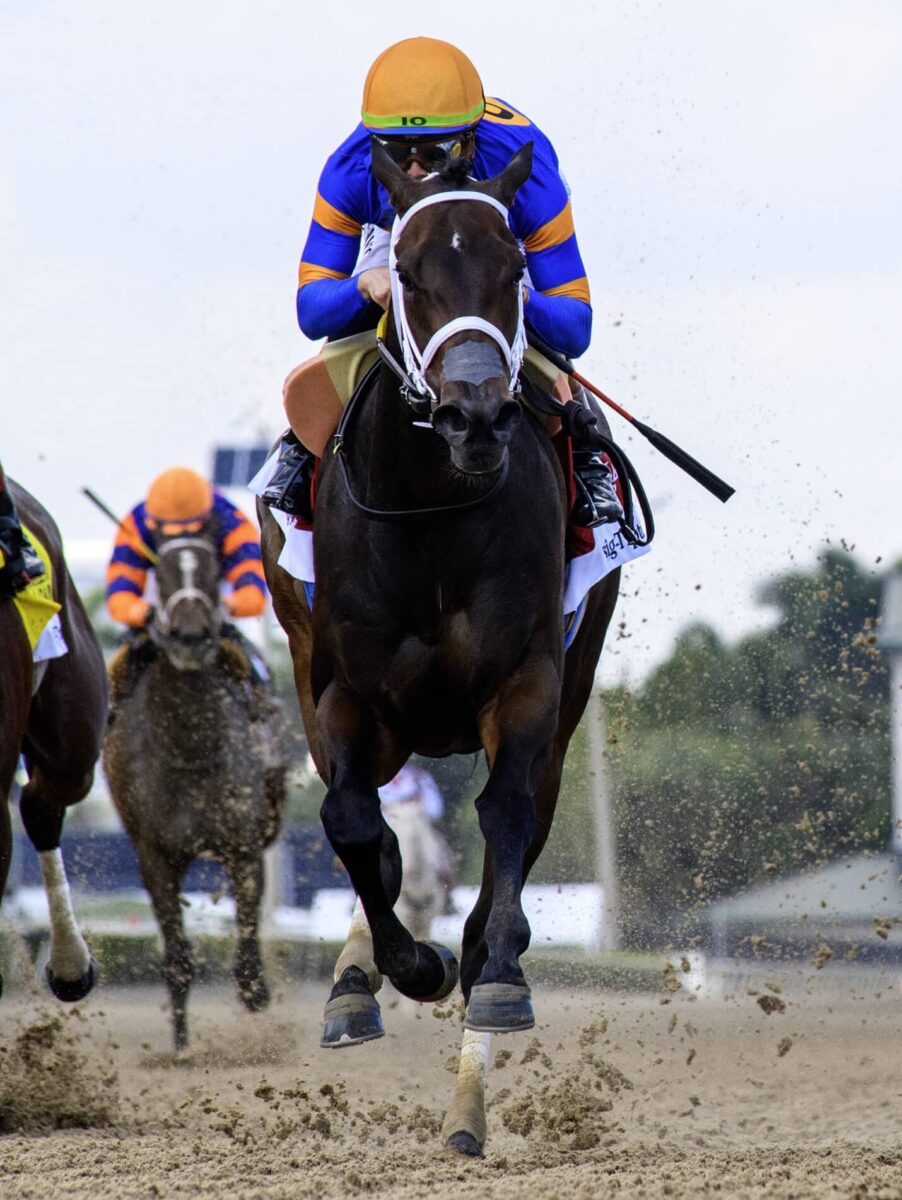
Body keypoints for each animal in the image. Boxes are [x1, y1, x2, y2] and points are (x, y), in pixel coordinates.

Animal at [105, 530, 289, 1046]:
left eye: (211, 569)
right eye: (163, 573)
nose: (190, 636)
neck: (189, 745)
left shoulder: (242, 847)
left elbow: (247, 949)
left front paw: (256, 994)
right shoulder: (155, 855)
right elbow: (178, 958)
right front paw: (182, 1045)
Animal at [260, 142, 618, 1152]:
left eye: (515, 269)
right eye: (410, 274)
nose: (476, 416)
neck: (430, 509)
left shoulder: (528, 683)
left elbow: (505, 820)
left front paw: (492, 974)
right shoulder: (345, 693)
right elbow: (353, 826)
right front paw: (398, 969)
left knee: (517, 831)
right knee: (371, 835)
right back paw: (357, 983)